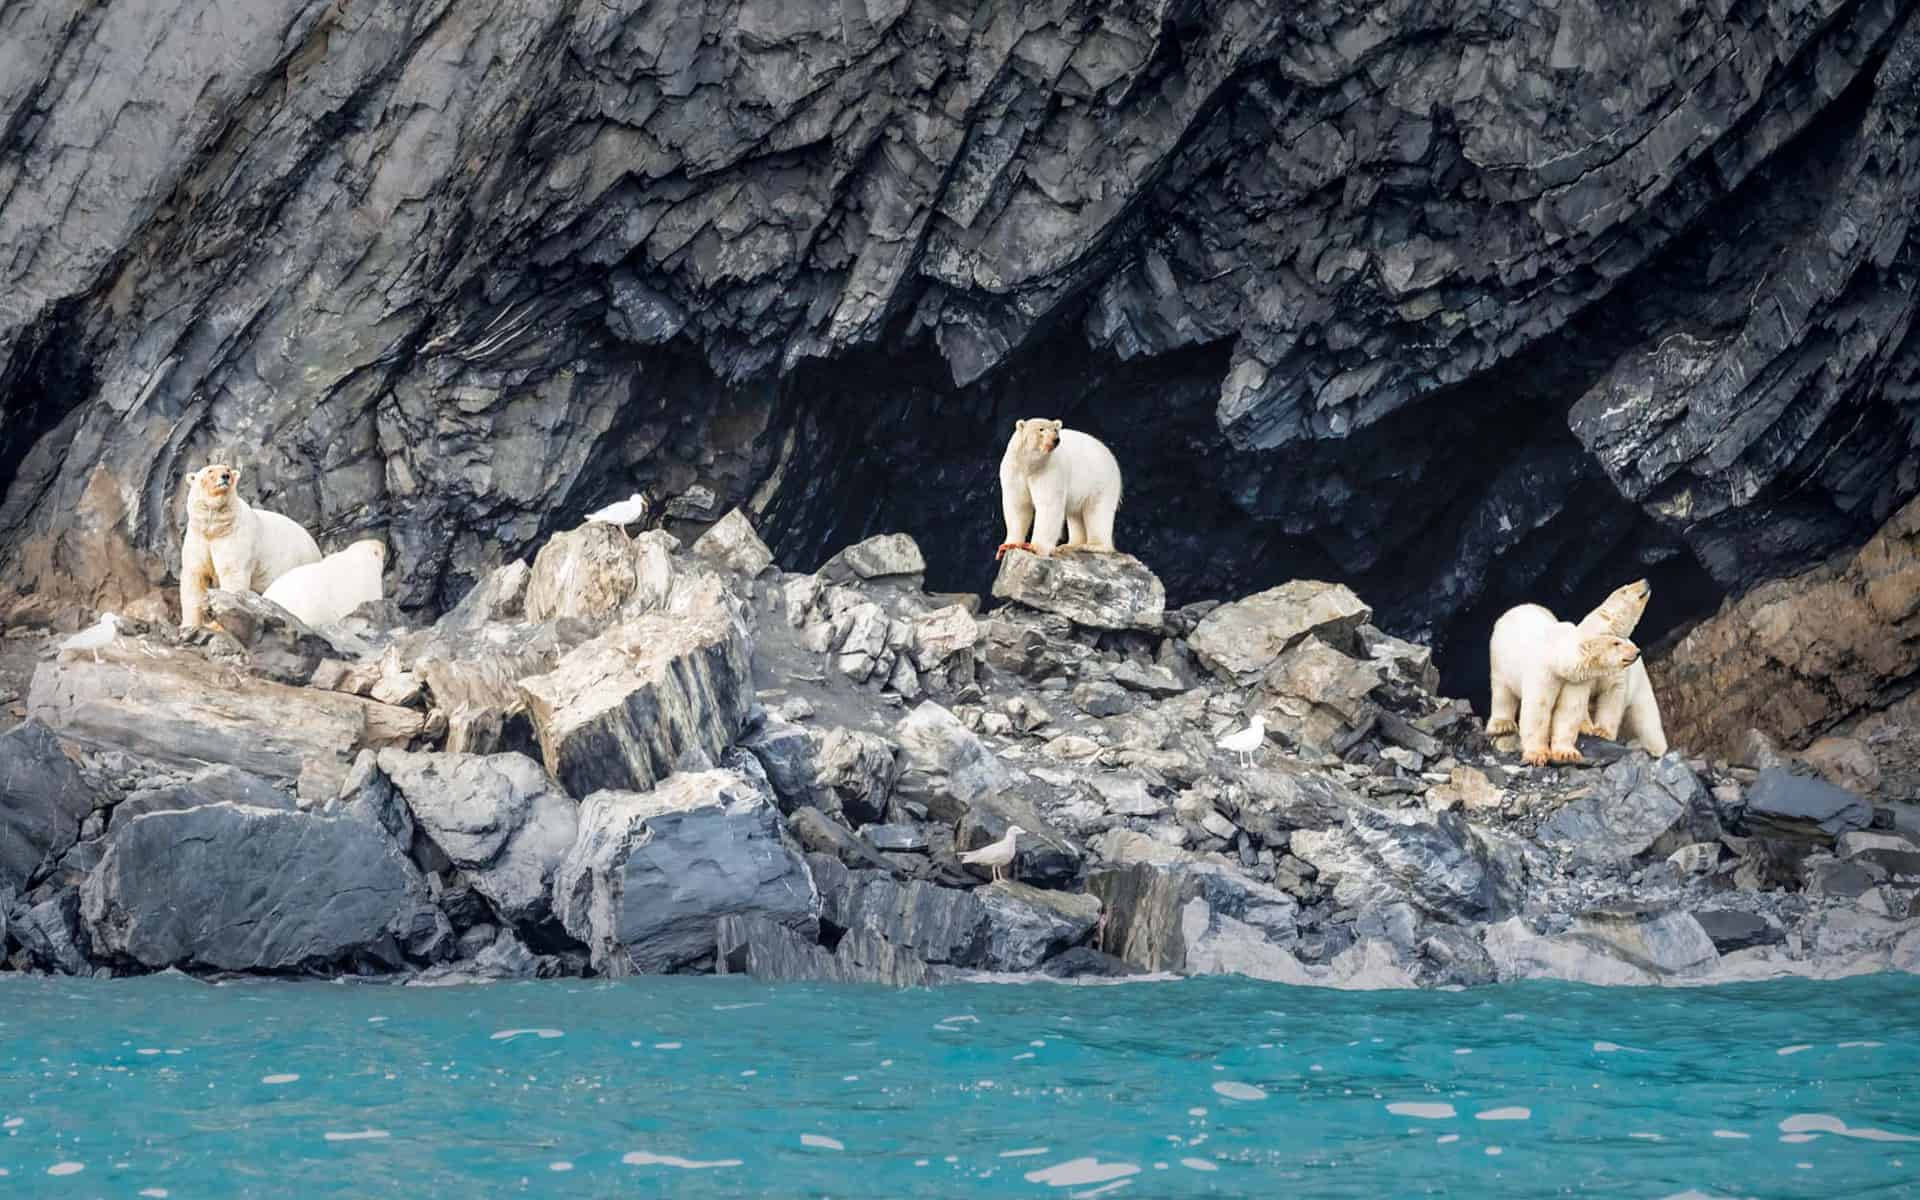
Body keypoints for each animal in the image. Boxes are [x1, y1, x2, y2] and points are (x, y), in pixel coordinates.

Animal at [179, 463, 323, 630]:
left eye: (228, 470)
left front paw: (219, 622)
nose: (225, 476)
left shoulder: (234, 537)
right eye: (210, 471)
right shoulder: (198, 539)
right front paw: (189, 625)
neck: (216, 529)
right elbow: (195, 577)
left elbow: (232, 573)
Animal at [995, 418, 1123, 560]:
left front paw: (1034, 547)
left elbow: (1048, 505)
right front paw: (1008, 545)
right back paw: (1071, 545)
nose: (1056, 439)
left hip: (1100, 480)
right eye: (1041, 429)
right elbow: (1018, 505)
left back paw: (1094, 545)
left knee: (1097, 511)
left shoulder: (1048, 470)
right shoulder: (1014, 471)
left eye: (1055, 430)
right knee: (1075, 515)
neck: (1030, 466)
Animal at [1486, 603, 1642, 766]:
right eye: (1616, 643)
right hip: (1499, 660)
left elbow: (1569, 710)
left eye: (1620, 640)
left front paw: (1566, 753)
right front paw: (1537, 755)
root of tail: (1517, 607)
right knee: (1502, 692)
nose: (1637, 651)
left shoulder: (1575, 680)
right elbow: (1538, 709)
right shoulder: (1544, 673)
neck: (1557, 658)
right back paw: (1502, 724)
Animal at [1575, 578, 1670, 756]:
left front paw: (1602, 732)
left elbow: (1612, 693)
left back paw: (1658, 750)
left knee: (1647, 720)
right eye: (1624, 589)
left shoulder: (1620, 666)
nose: (1645, 580)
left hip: (1640, 686)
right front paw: (1586, 727)